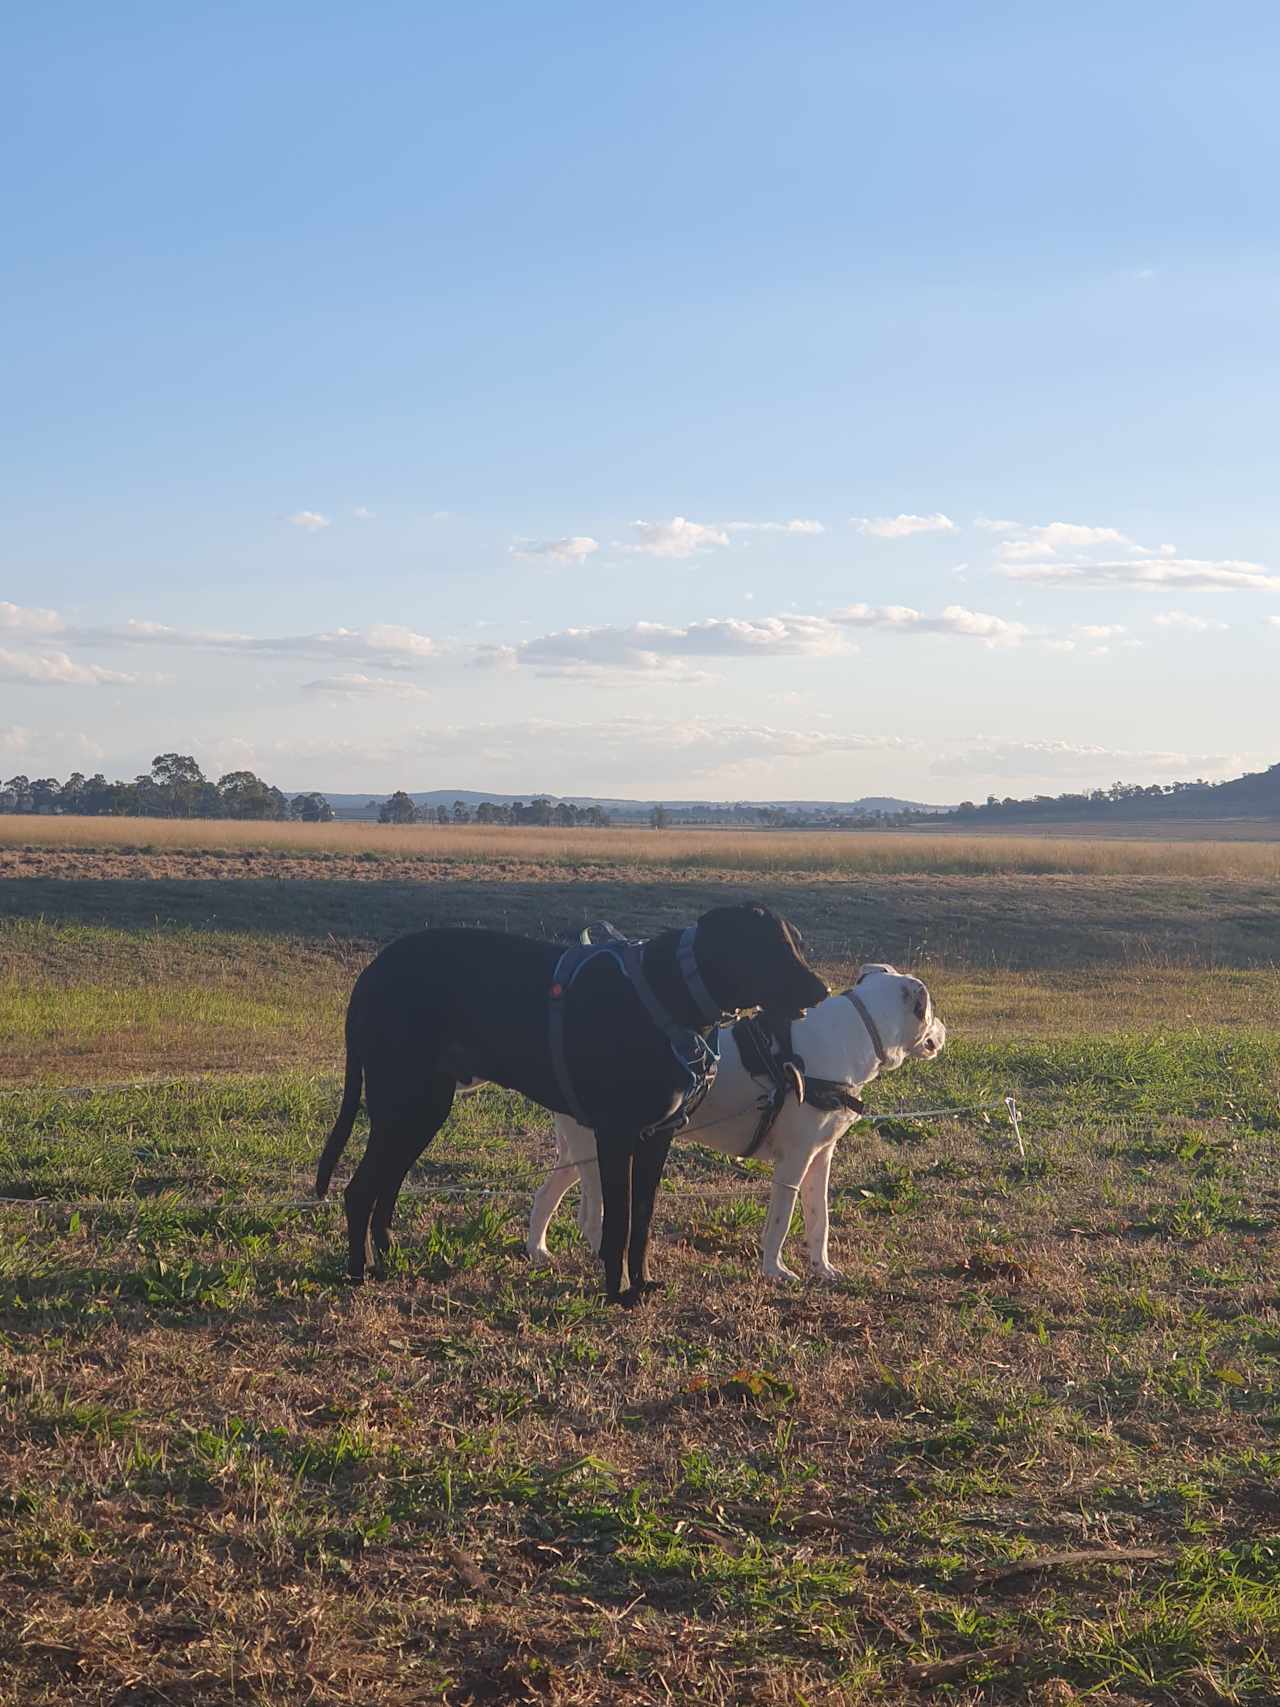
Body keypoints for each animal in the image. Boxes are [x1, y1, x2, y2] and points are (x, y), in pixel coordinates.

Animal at [315, 901, 826, 1297]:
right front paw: (617, 1293)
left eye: (798, 944)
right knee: (360, 1189)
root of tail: (371, 973)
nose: (821, 992)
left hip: (424, 1109)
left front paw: (641, 1283)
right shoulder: (617, 1134)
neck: (673, 992)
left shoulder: (659, 1136)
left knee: (386, 1187)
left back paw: (388, 1259)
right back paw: (358, 1273)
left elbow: (642, 1220)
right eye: (770, 948)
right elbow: (617, 1221)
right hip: (404, 1103)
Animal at [525, 976, 948, 1283]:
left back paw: (538, 1251)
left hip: (579, 1151)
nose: (945, 1030)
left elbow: (820, 1220)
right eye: (931, 1012)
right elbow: (780, 1221)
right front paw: (775, 1271)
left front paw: (822, 1268)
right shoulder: (793, 1163)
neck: (856, 1032)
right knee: (592, 1219)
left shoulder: (820, 1159)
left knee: (546, 1196)